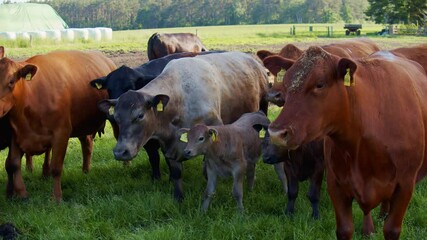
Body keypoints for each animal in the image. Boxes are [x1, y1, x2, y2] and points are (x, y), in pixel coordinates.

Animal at [0, 48, 116, 201]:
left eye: (11, 81)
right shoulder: (16, 135)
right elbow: (13, 164)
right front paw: (22, 194)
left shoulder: (61, 133)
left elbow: (56, 167)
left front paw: (56, 197)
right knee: (87, 144)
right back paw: (85, 171)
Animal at [266, 47, 427, 240]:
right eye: (286, 84)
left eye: (320, 84)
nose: (276, 133)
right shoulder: (336, 185)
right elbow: (344, 229)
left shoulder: (405, 186)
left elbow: (391, 229)